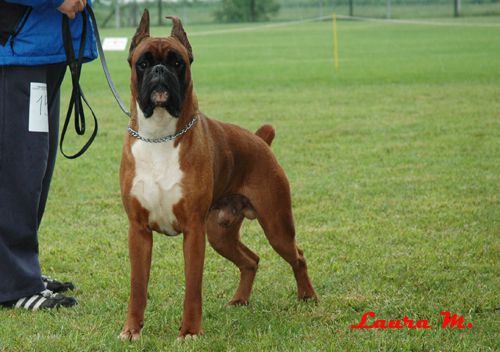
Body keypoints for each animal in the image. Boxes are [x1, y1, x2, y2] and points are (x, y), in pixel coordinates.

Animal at [118, 9, 316, 340]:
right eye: (142, 62)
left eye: (177, 62)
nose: (159, 71)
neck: (159, 137)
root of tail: (260, 139)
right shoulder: (139, 231)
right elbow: (137, 286)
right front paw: (132, 329)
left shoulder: (193, 232)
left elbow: (192, 288)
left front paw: (190, 331)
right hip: (220, 233)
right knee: (251, 260)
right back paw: (240, 299)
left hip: (276, 226)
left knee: (297, 255)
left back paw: (308, 296)